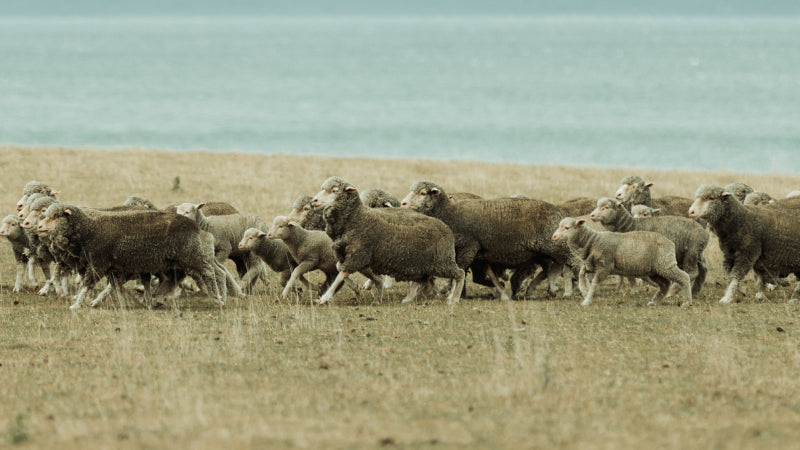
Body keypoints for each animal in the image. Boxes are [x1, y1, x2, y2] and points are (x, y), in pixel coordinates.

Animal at [38, 204, 222, 310]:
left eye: (56, 216)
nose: (39, 226)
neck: (89, 229)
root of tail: (194, 226)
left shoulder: (98, 262)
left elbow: (87, 284)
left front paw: (76, 304)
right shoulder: (111, 266)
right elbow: (111, 286)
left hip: (191, 254)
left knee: (208, 272)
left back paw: (218, 298)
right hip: (172, 262)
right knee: (171, 280)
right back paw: (155, 300)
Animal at [310, 178, 466, 304]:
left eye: (334, 191)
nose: (314, 201)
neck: (357, 218)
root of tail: (445, 226)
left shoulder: (359, 254)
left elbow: (340, 274)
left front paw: (325, 297)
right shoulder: (349, 254)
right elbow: (338, 268)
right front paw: (355, 287)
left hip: (442, 261)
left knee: (460, 274)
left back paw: (453, 299)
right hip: (422, 264)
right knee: (426, 282)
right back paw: (410, 298)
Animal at [400, 178, 576, 298]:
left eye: (422, 193)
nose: (402, 203)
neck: (450, 213)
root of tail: (559, 213)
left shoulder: (469, 247)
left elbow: (461, 268)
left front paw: (451, 291)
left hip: (556, 246)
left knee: (574, 262)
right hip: (544, 251)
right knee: (552, 267)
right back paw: (549, 289)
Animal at [552, 217, 692, 306]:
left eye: (567, 228)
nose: (553, 236)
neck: (592, 241)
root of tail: (670, 242)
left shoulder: (604, 267)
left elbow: (594, 284)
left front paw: (587, 300)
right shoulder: (592, 265)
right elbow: (582, 273)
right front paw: (583, 289)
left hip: (665, 264)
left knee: (684, 277)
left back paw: (687, 302)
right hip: (655, 270)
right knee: (665, 284)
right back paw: (654, 302)